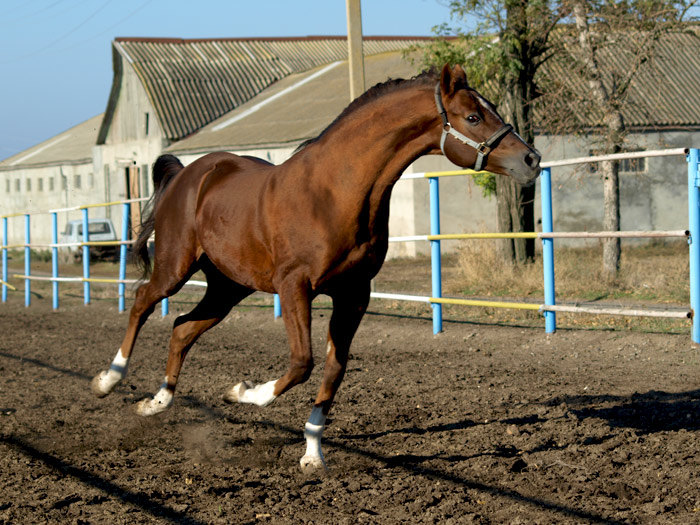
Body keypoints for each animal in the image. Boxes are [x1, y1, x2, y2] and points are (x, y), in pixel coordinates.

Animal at [91, 63, 540, 468]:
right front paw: (243, 391)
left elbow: (334, 369)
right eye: (473, 116)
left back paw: (156, 403)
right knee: (142, 301)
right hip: (176, 266)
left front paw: (312, 454)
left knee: (183, 328)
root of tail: (190, 173)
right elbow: (302, 363)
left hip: (228, 287)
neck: (335, 191)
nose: (531, 159)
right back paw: (107, 380)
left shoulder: (354, 294)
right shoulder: (295, 287)